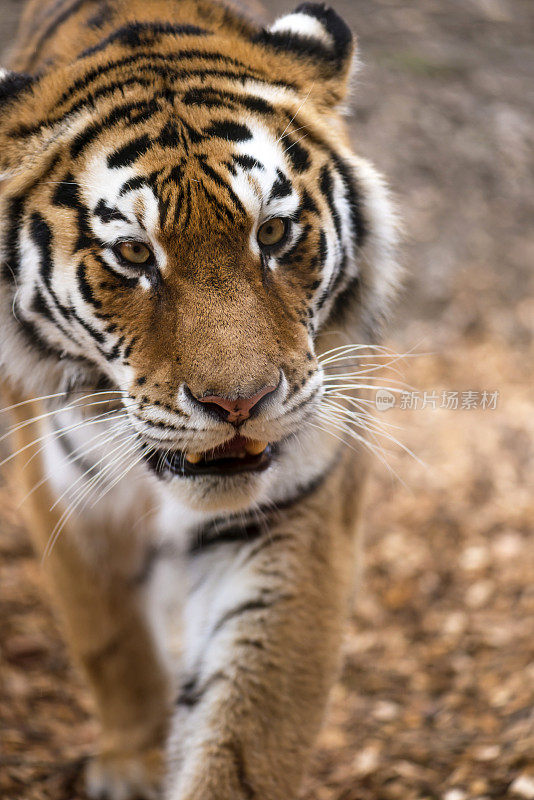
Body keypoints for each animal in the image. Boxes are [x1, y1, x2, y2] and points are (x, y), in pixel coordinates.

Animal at [0, 0, 402, 796]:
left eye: (273, 233)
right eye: (133, 254)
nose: (240, 405)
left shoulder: (295, 509)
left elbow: (249, 723)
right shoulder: (66, 500)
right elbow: (110, 638)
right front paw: (134, 765)